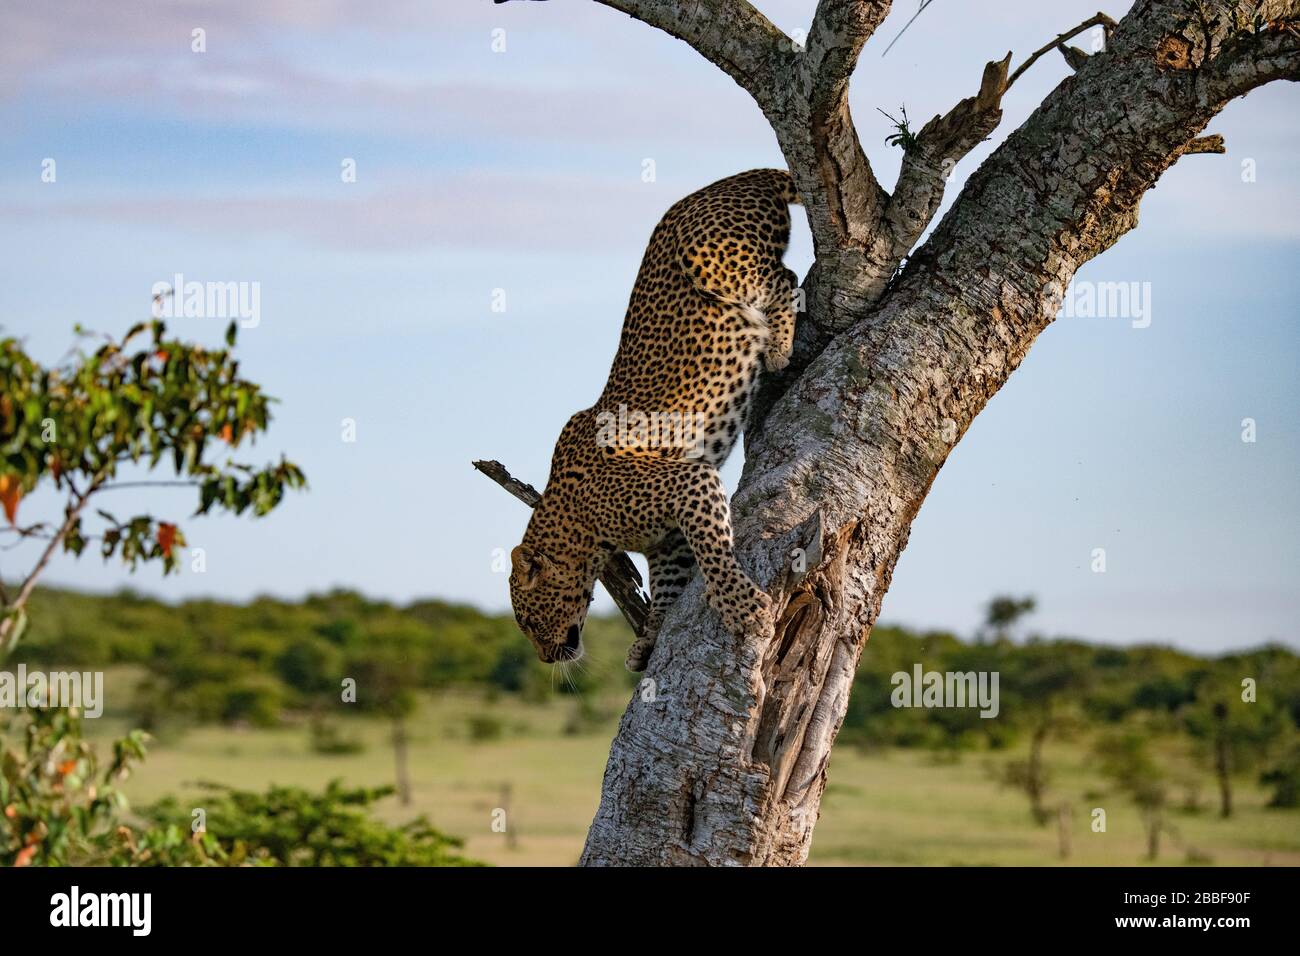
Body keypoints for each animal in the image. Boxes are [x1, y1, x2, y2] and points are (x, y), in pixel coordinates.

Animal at [509, 166, 800, 671]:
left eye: (527, 620)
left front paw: (744, 610)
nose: (545, 659)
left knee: (786, 278)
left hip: (709, 256)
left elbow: (715, 554)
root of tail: (742, 175)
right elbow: (669, 584)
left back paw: (779, 345)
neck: (581, 532)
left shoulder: (689, 480)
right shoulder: (667, 540)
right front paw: (650, 636)